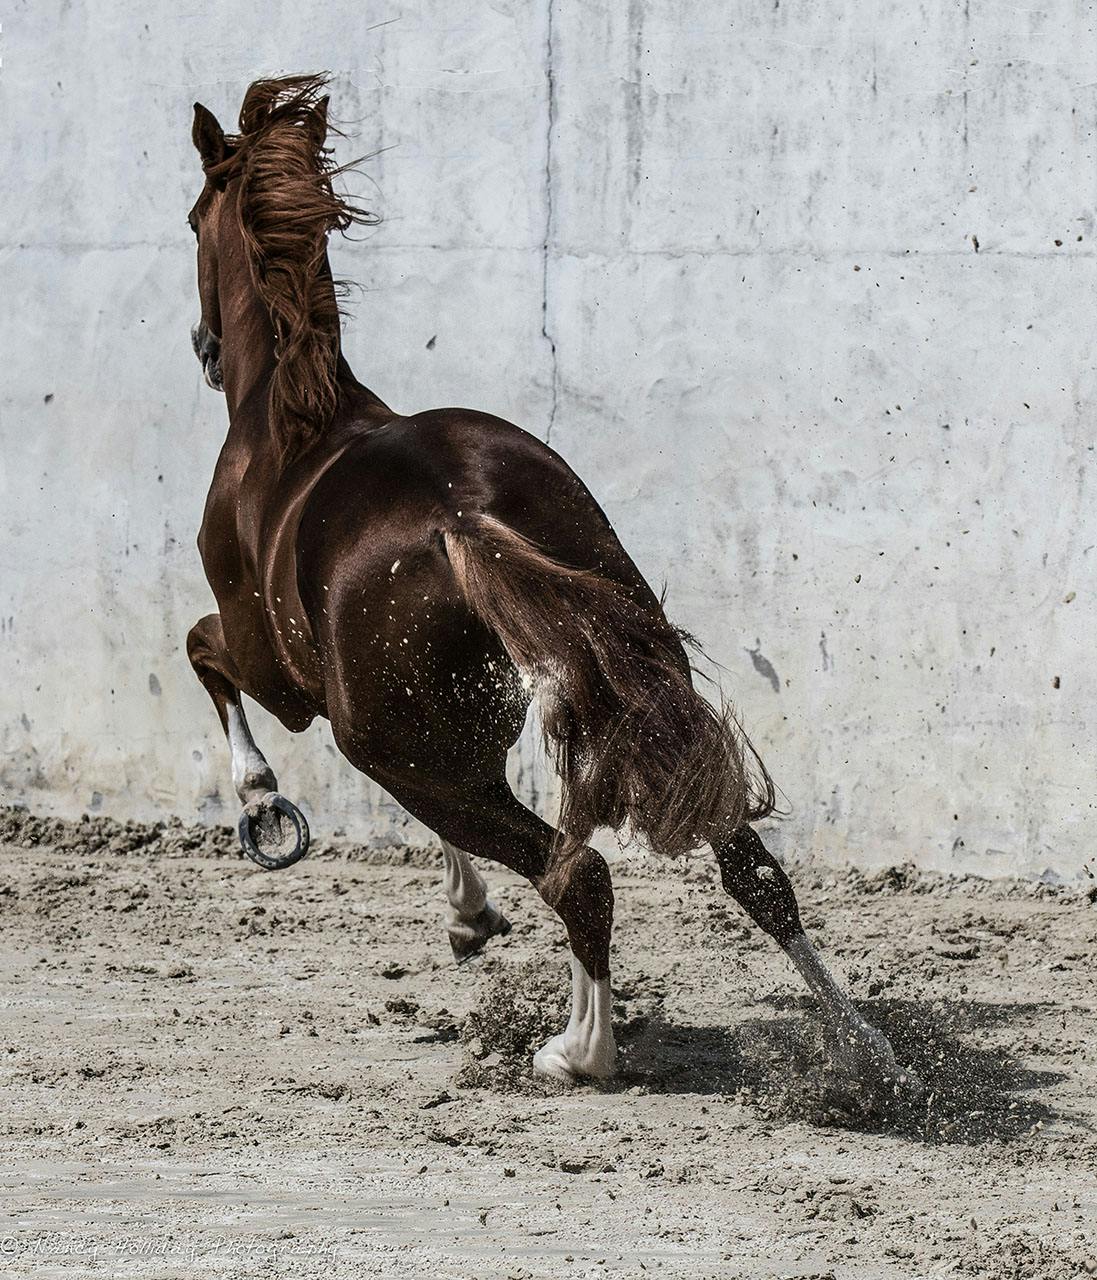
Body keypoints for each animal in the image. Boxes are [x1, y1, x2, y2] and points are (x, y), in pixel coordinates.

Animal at [185, 72, 916, 1090]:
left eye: (190, 221)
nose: (206, 349)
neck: (286, 424)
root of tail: (458, 513)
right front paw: (467, 916)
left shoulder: (281, 679)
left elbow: (199, 652)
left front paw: (264, 809)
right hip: (632, 688)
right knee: (751, 874)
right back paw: (871, 1055)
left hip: (393, 748)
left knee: (576, 871)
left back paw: (579, 1052)